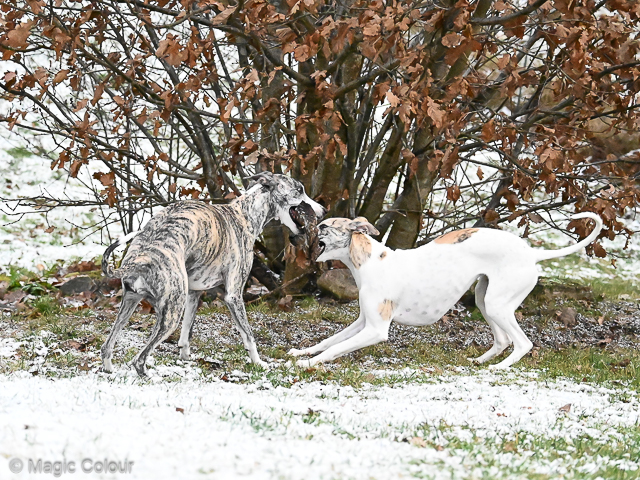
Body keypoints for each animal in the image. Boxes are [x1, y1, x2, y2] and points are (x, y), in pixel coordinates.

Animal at [290, 213, 600, 368]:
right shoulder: (362, 322)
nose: (293, 237)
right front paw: (301, 352)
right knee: (502, 340)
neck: (370, 261)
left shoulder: (376, 330)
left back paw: (498, 368)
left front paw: (309, 364)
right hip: (484, 300)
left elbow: (336, 348)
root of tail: (532, 253)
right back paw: (479, 361)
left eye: (323, 226)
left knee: (523, 343)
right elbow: (330, 340)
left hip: (497, 304)